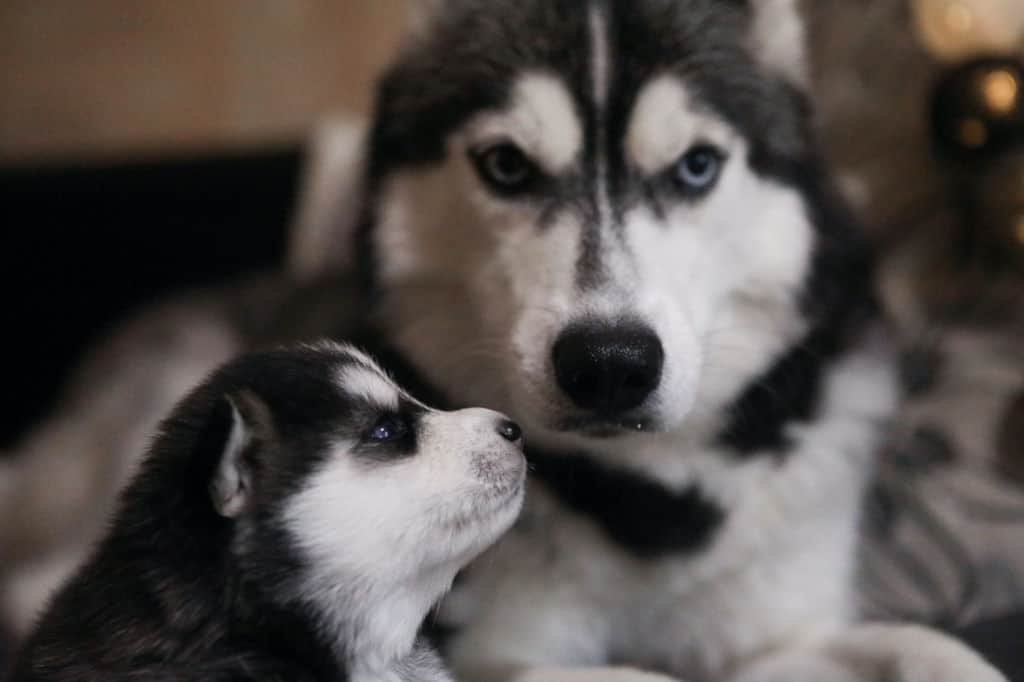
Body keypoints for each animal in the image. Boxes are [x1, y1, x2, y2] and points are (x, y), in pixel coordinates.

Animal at [348, 1, 1003, 679]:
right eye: (506, 165)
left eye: (696, 165)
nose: (609, 365)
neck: (646, 497)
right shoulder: (484, 650)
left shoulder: (776, 631)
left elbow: (919, 644)